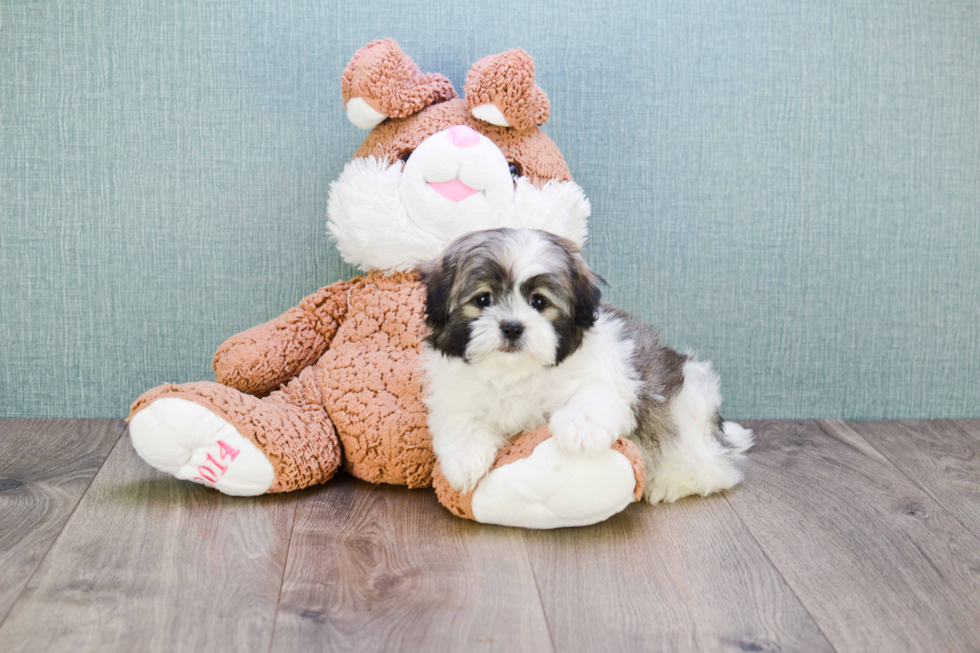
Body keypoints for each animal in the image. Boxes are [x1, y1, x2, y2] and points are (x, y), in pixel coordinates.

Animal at [418, 227, 756, 502]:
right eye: (483, 299)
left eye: (538, 302)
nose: (512, 327)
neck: (515, 372)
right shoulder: (455, 396)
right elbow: (461, 422)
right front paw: (465, 459)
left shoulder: (612, 380)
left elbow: (593, 395)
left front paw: (579, 430)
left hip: (685, 407)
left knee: (712, 468)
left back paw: (670, 483)